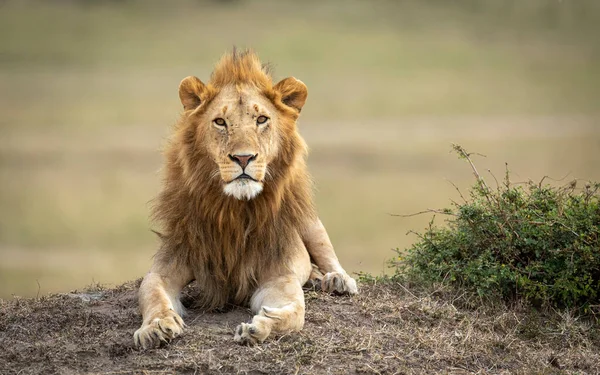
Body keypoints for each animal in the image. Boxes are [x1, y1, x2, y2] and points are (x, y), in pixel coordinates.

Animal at [134, 50, 358, 350]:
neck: (233, 210)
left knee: (327, 256)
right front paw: (156, 326)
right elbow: (152, 293)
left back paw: (336, 280)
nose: (243, 158)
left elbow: (296, 312)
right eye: (220, 122)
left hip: (310, 223)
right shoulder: (168, 265)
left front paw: (261, 326)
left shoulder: (279, 275)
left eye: (261, 119)